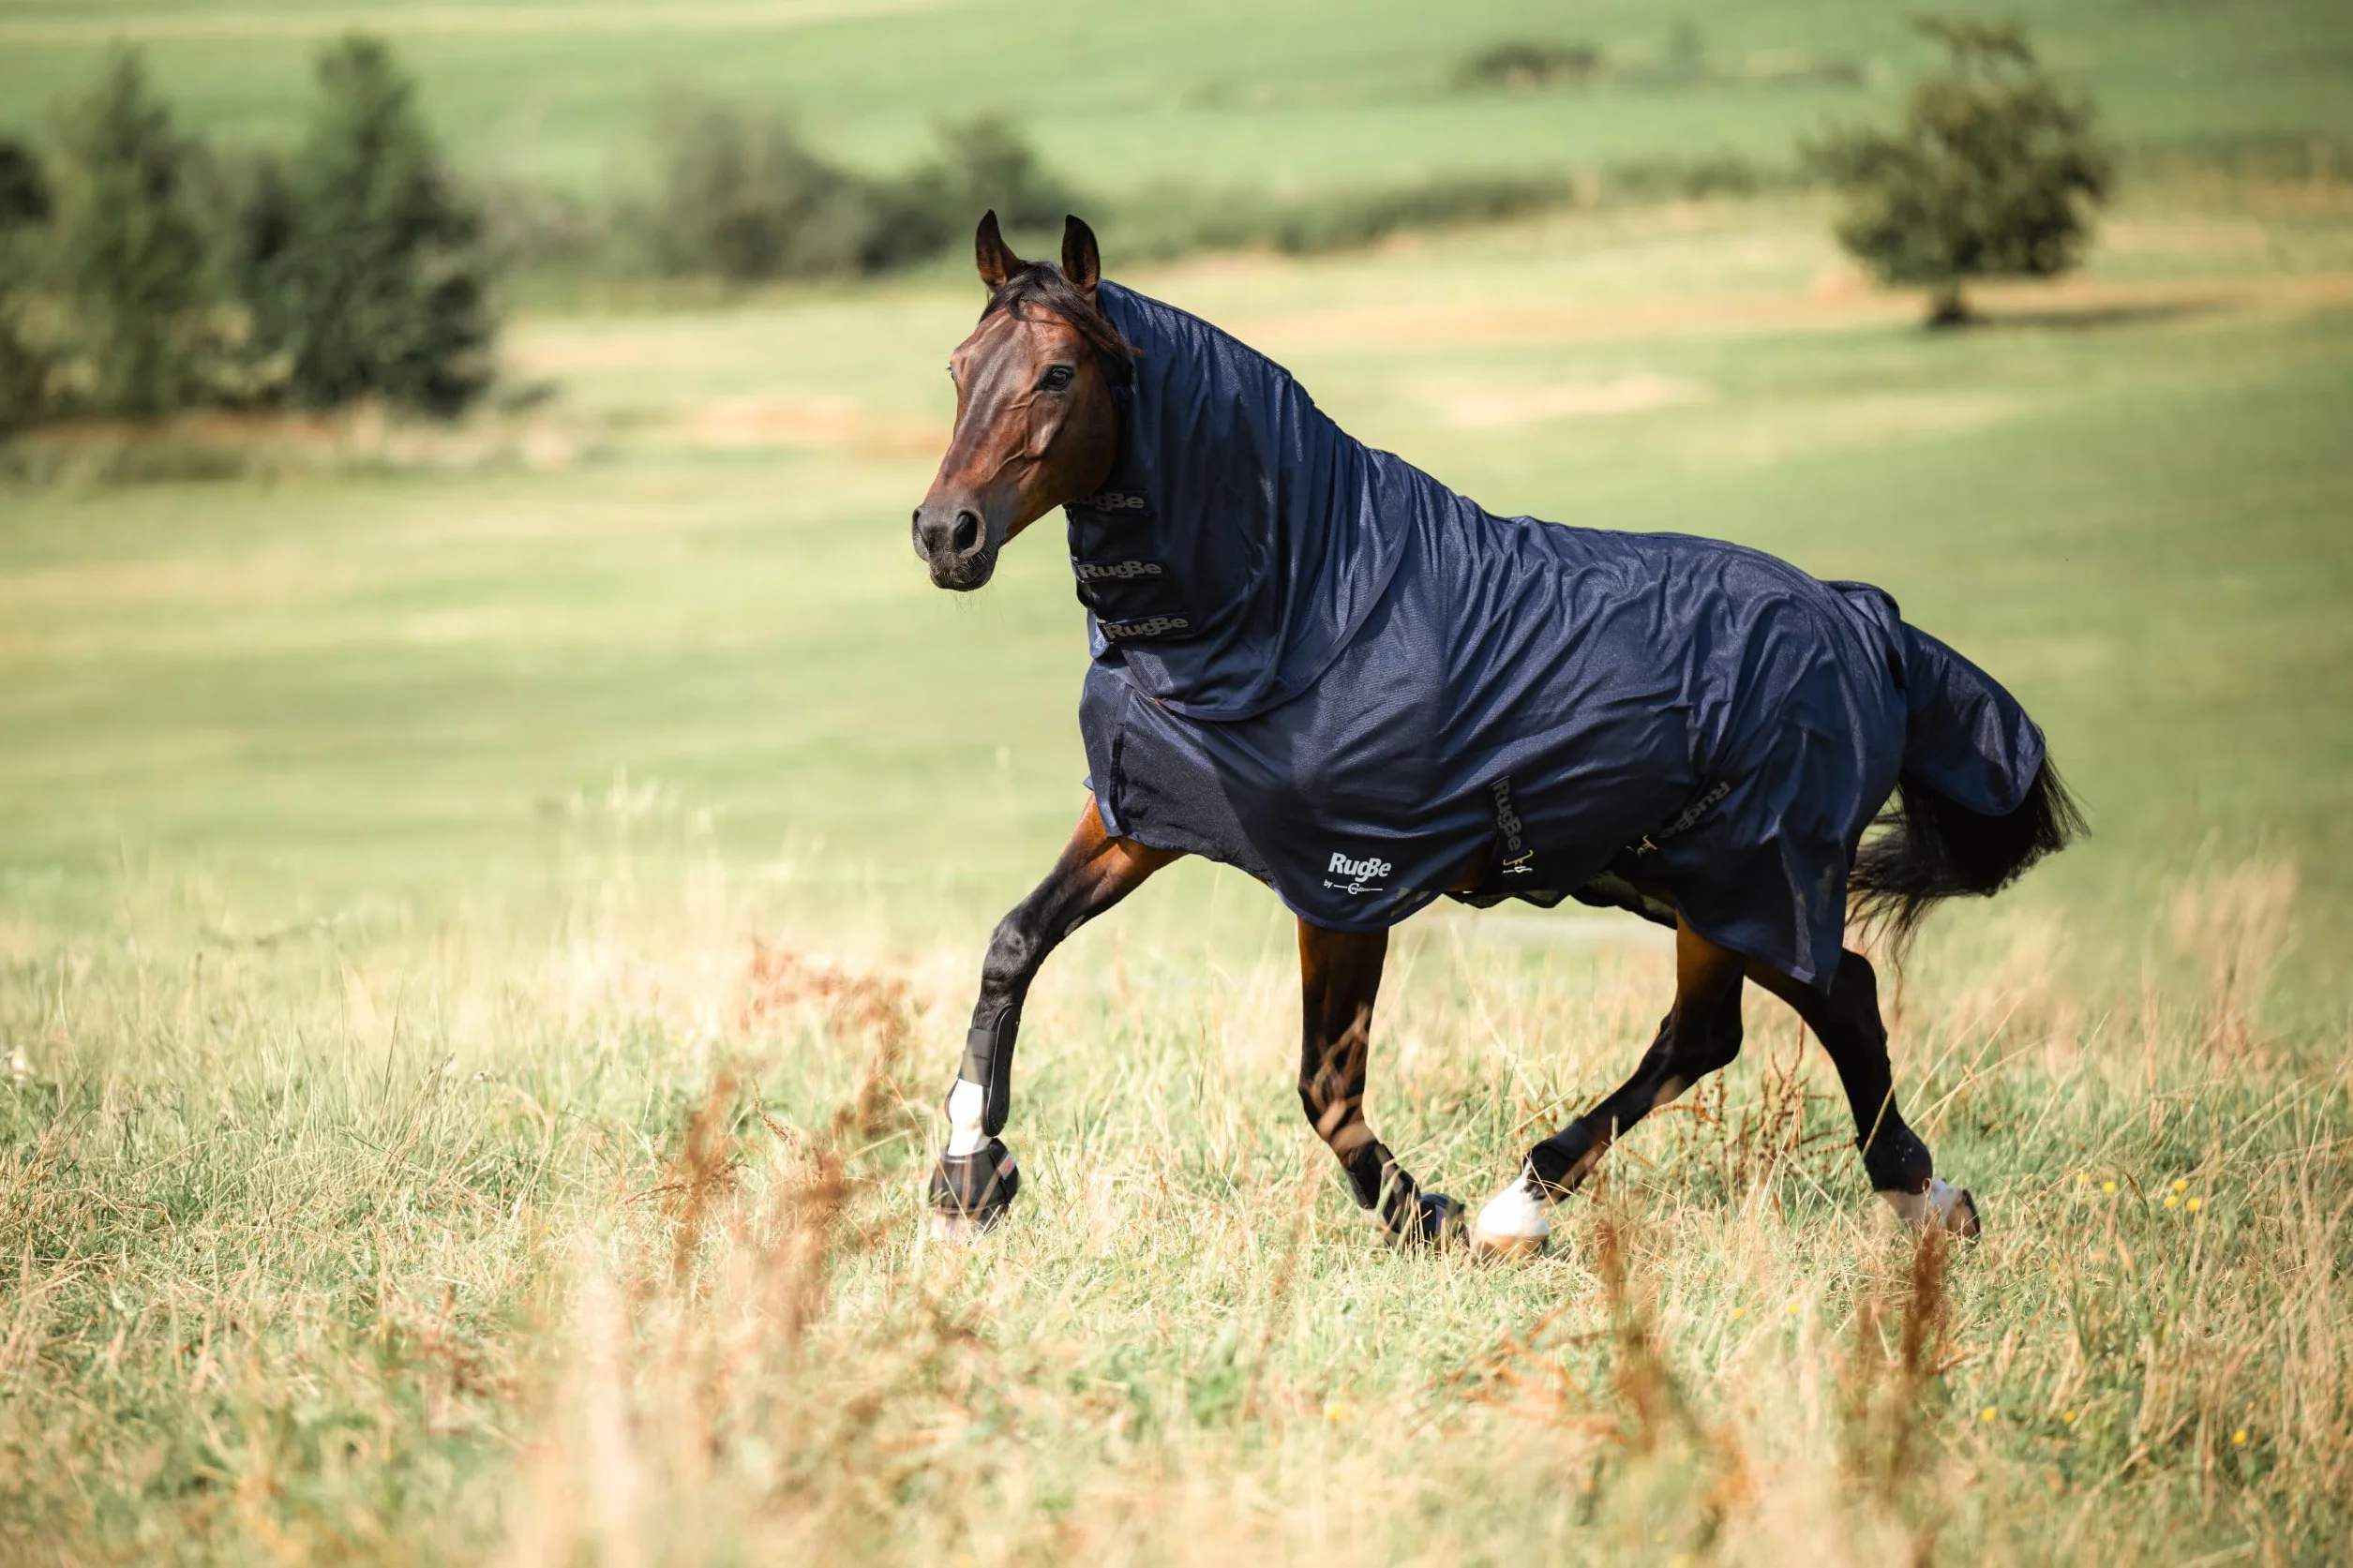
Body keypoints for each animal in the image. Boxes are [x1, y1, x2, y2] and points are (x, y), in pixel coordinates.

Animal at [909, 211, 2081, 1255]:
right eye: (959, 366)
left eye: (1058, 374)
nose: (942, 533)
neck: (1302, 597)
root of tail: (1862, 620)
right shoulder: (1142, 817)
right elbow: (1014, 942)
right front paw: (967, 1173)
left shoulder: (1346, 881)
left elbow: (1324, 1082)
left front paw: (1422, 1214)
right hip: (1674, 877)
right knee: (1807, 1000)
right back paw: (1909, 1198)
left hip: (1740, 871)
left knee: (1754, 1017)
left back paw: (1526, 1203)